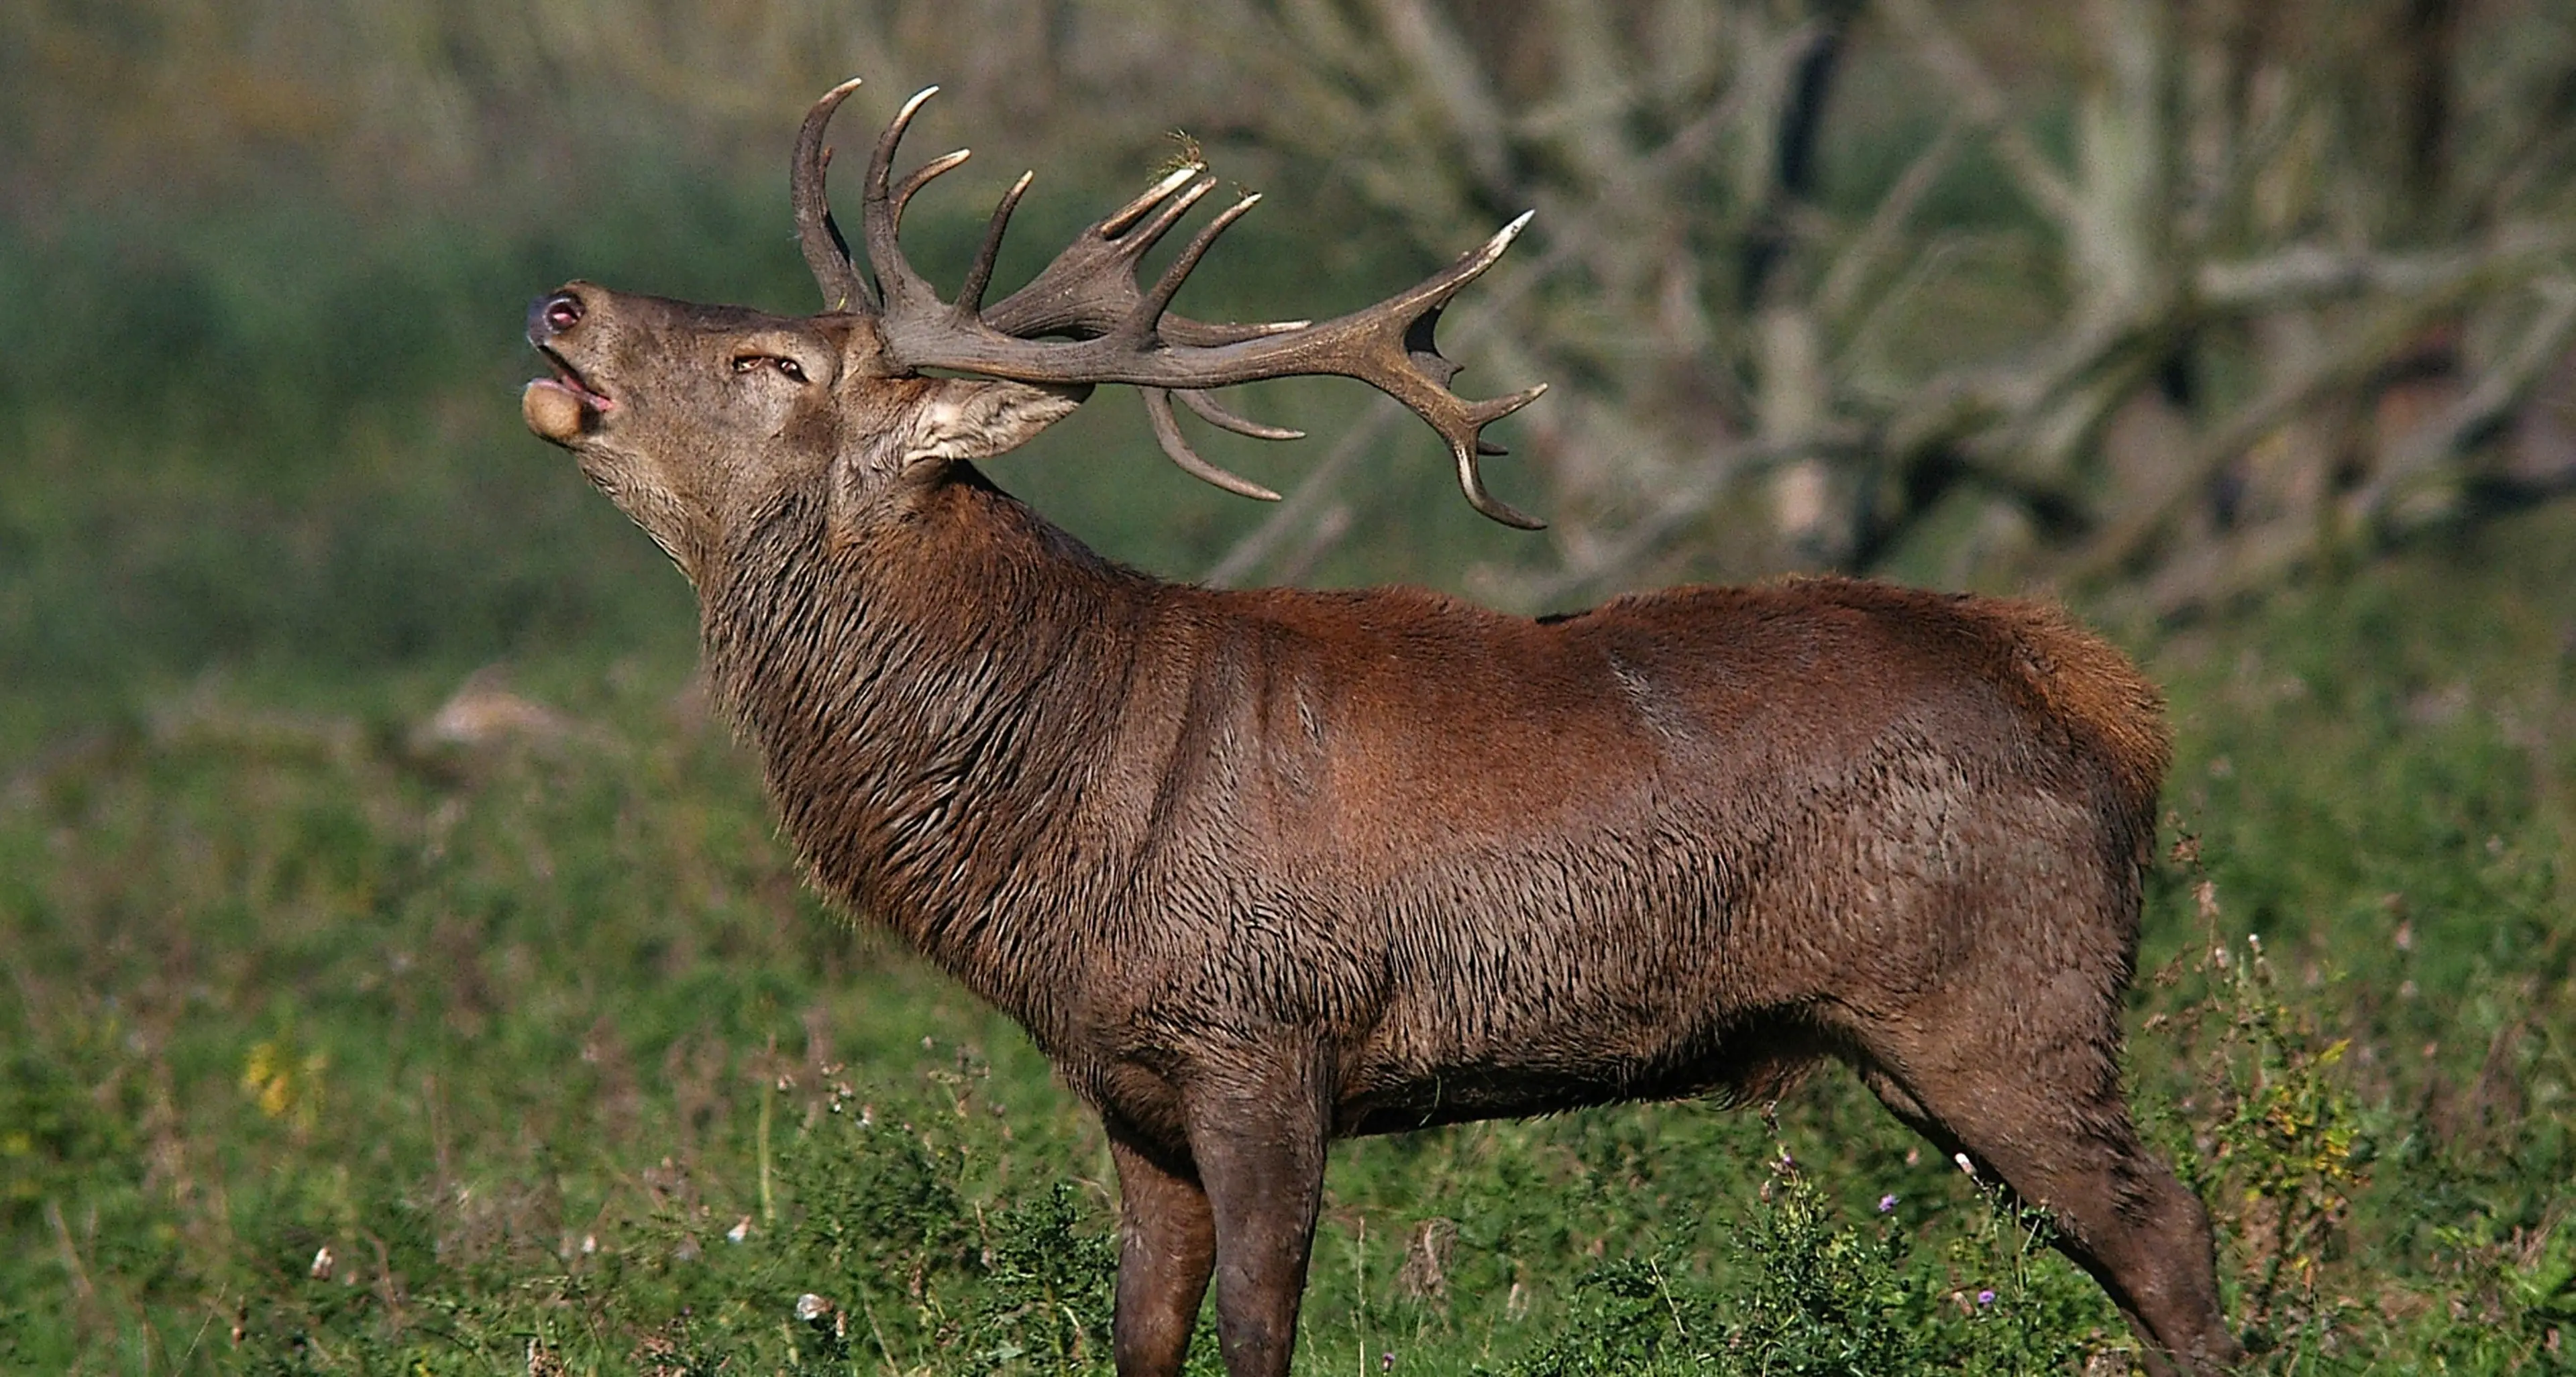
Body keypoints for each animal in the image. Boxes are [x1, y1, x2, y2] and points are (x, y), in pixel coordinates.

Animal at [521, 78, 2241, 1377]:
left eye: (773, 361)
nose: (564, 298)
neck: (1052, 812)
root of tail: (2111, 696)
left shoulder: (1266, 1033)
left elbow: (1257, 1331)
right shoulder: (1128, 1087)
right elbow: (1142, 1335)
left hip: (2002, 999)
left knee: (2172, 1233)